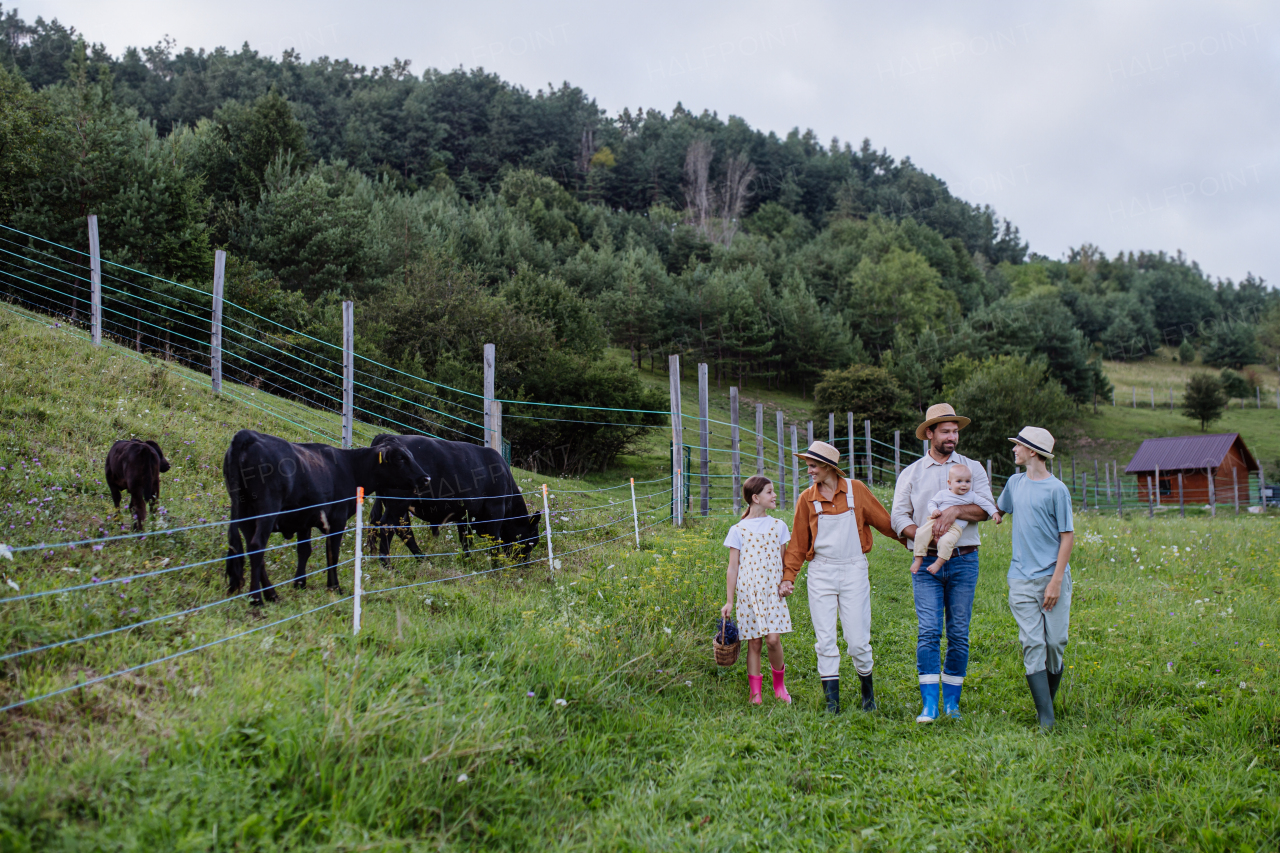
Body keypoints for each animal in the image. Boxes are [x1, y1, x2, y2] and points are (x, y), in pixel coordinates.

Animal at [224, 427, 430, 601]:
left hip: (244, 515)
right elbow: (333, 553)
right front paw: (335, 587)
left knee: (251, 548)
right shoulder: (337, 520)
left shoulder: (304, 520)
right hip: (267, 511)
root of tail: (247, 435)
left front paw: (300, 583)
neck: (350, 468)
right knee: (257, 546)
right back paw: (257, 598)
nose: (426, 478)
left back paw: (271, 594)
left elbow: (304, 551)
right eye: (401, 458)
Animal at [366, 432, 540, 563]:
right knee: (389, 526)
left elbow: (466, 539)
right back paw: (388, 564)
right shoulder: (495, 510)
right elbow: (494, 541)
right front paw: (496, 565)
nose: (525, 564)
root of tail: (387, 436)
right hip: (398, 502)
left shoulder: (465, 515)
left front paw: (467, 560)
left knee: (393, 526)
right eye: (532, 541)